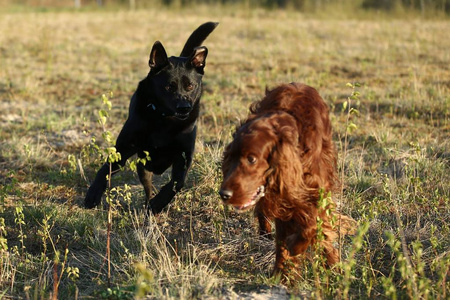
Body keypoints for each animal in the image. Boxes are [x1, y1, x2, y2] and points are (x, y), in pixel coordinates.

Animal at [85, 21, 219, 213]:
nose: (184, 107)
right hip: (143, 166)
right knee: (147, 186)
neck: (165, 120)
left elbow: (177, 183)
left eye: (190, 86)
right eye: (168, 87)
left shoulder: (184, 156)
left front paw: (159, 203)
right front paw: (93, 194)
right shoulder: (125, 148)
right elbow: (105, 168)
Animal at [220, 81, 354, 278]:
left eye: (252, 158)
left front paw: (327, 259)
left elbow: (315, 224)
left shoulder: (314, 189)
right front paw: (282, 274)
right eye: (230, 156)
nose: (224, 194)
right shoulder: (283, 199)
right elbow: (284, 239)